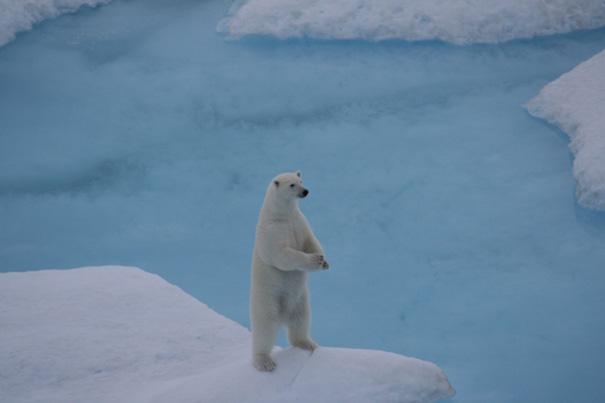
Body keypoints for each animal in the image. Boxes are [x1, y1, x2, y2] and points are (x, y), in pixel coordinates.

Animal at [249, 170, 328, 372]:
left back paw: (308, 344)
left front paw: (324, 261)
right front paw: (314, 260)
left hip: (299, 301)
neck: (282, 215)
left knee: (301, 321)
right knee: (265, 329)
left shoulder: (299, 221)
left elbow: (310, 240)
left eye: (301, 180)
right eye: (292, 185)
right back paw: (264, 361)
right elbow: (283, 255)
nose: (306, 191)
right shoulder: (273, 232)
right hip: (267, 301)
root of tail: (283, 316)